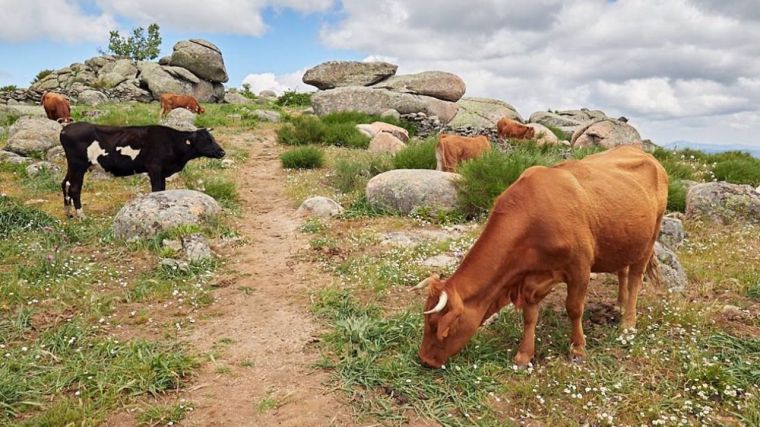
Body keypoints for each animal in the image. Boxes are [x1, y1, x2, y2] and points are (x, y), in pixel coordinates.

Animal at [59, 123, 226, 217]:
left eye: (212, 138)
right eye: (207, 140)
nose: (222, 152)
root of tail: (66, 129)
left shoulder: (162, 172)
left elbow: (162, 190)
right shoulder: (155, 168)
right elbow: (157, 190)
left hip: (72, 166)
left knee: (65, 183)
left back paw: (68, 213)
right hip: (78, 165)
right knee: (74, 188)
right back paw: (81, 216)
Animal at [412, 145, 668, 370]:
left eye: (435, 324)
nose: (424, 360)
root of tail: (645, 154)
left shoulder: (580, 267)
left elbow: (574, 308)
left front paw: (578, 349)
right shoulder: (529, 277)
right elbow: (529, 316)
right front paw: (524, 355)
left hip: (650, 237)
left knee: (636, 278)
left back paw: (628, 323)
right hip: (625, 239)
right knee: (623, 270)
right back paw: (619, 304)